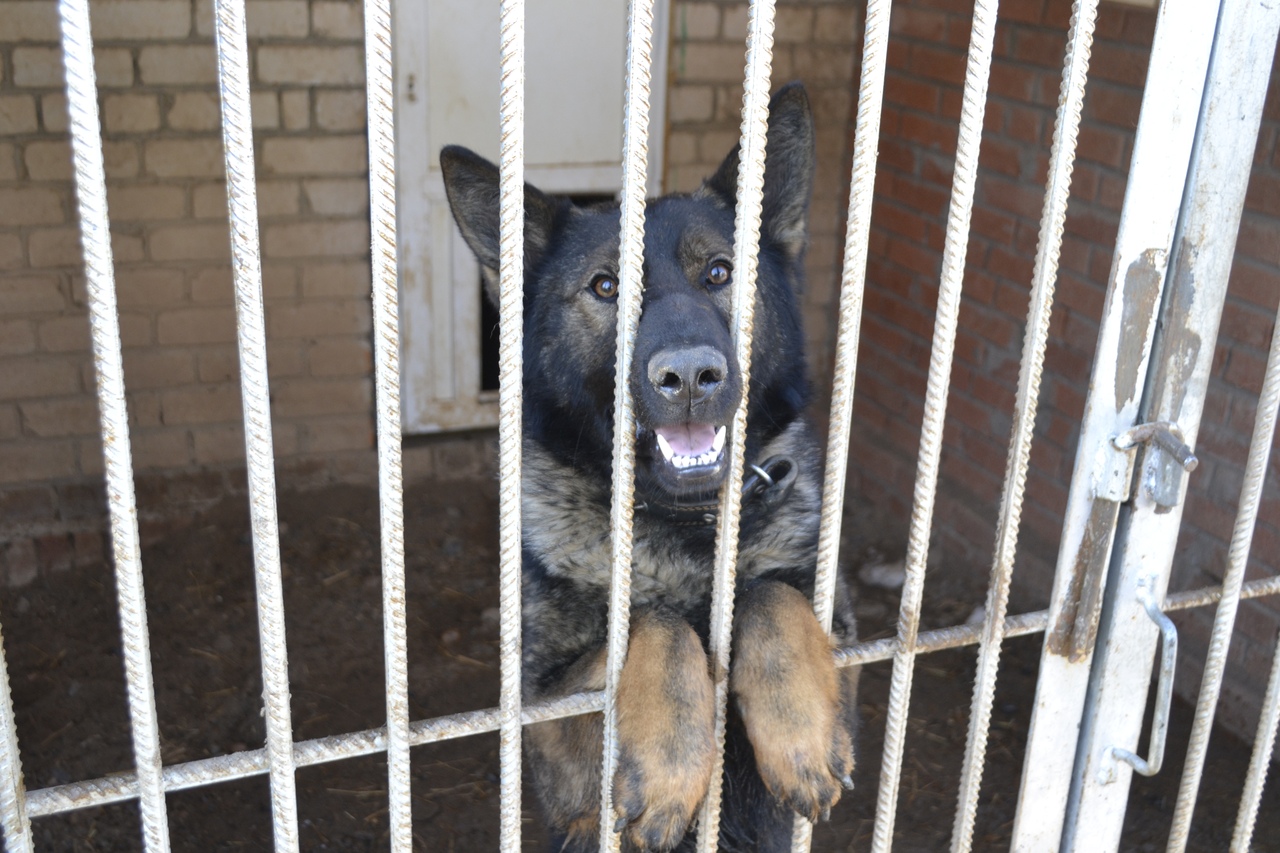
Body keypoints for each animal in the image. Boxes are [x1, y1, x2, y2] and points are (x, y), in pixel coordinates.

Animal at [440, 83, 859, 853]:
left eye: (720, 273)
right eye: (605, 287)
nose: (690, 375)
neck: (681, 526)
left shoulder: (849, 654)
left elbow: (769, 596)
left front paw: (801, 737)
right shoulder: (552, 742)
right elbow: (652, 620)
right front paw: (669, 767)